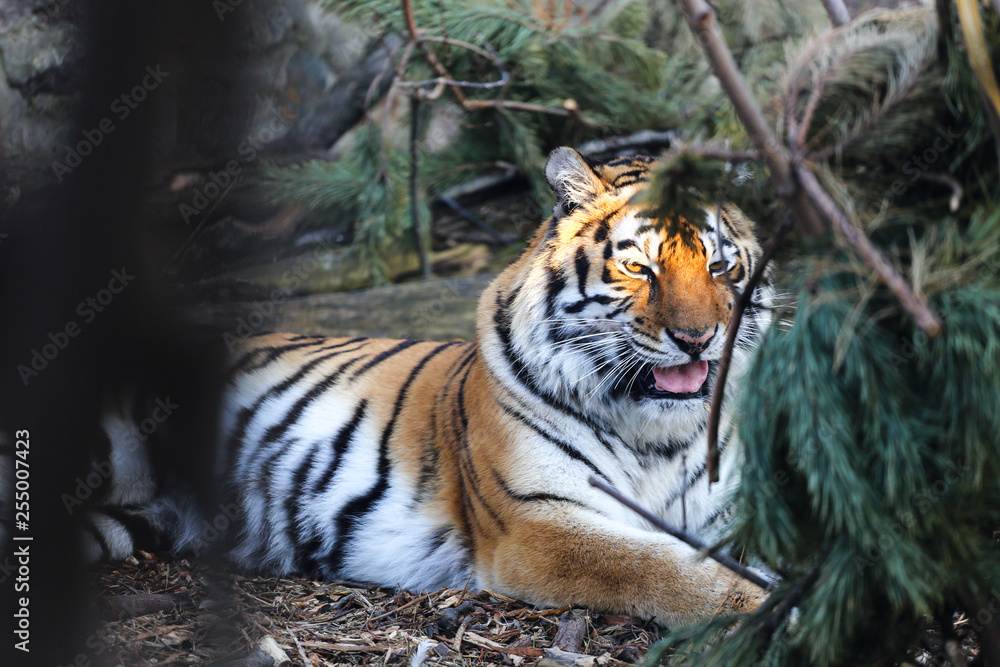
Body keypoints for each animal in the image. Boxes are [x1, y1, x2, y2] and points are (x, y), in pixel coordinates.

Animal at [79, 147, 774, 624]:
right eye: (639, 267)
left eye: (719, 265)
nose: (698, 338)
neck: (659, 433)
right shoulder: (540, 523)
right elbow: (665, 567)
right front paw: (765, 610)